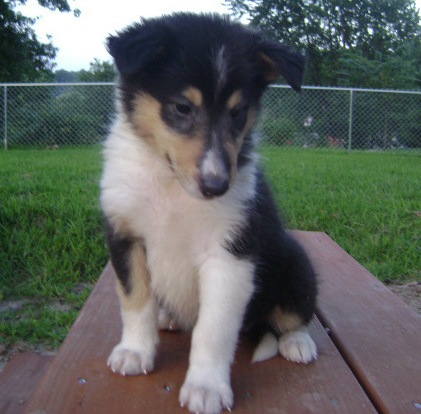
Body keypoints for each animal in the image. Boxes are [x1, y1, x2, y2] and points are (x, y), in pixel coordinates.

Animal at [100, 12, 316, 414]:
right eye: (182, 108)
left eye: (239, 113)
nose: (217, 187)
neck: (172, 185)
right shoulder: (126, 235)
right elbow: (135, 300)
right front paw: (135, 353)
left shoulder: (230, 255)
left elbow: (212, 329)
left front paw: (206, 388)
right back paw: (168, 316)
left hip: (296, 264)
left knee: (294, 315)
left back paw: (298, 342)